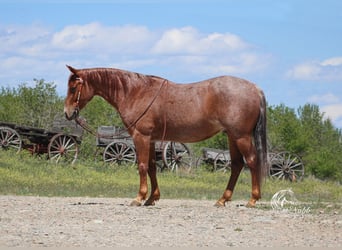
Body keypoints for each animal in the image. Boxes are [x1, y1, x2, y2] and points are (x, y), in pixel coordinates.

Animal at [64, 65, 268, 207]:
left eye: (73, 88)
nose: (67, 113)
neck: (136, 92)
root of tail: (255, 88)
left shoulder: (141, 136)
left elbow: (142, 166)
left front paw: (139, 198)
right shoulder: (151, 140)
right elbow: (153, 167)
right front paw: (152, 198)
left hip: (241, 136)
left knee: (251, 161)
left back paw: (252, 199)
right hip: (232, 137)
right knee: (237, 165)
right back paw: (222, 200)